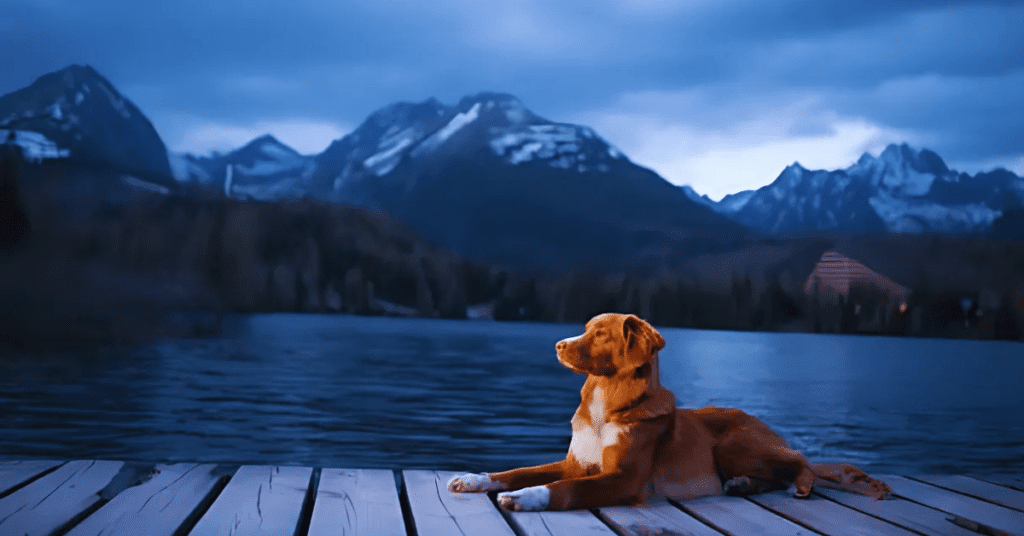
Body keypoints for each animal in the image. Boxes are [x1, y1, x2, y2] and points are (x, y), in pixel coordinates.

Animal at [448, 311, 888, 514]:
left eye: (600, 334)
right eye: (585, 327)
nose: (558, 345)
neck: (605, 404)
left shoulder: (624, 479)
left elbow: (564, 488)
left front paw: (525, 497)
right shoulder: (575, 462)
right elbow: (517, 470)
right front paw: (474, 478)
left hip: (732, 442)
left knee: (800, 463)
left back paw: (790, 483)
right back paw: (740, 484)